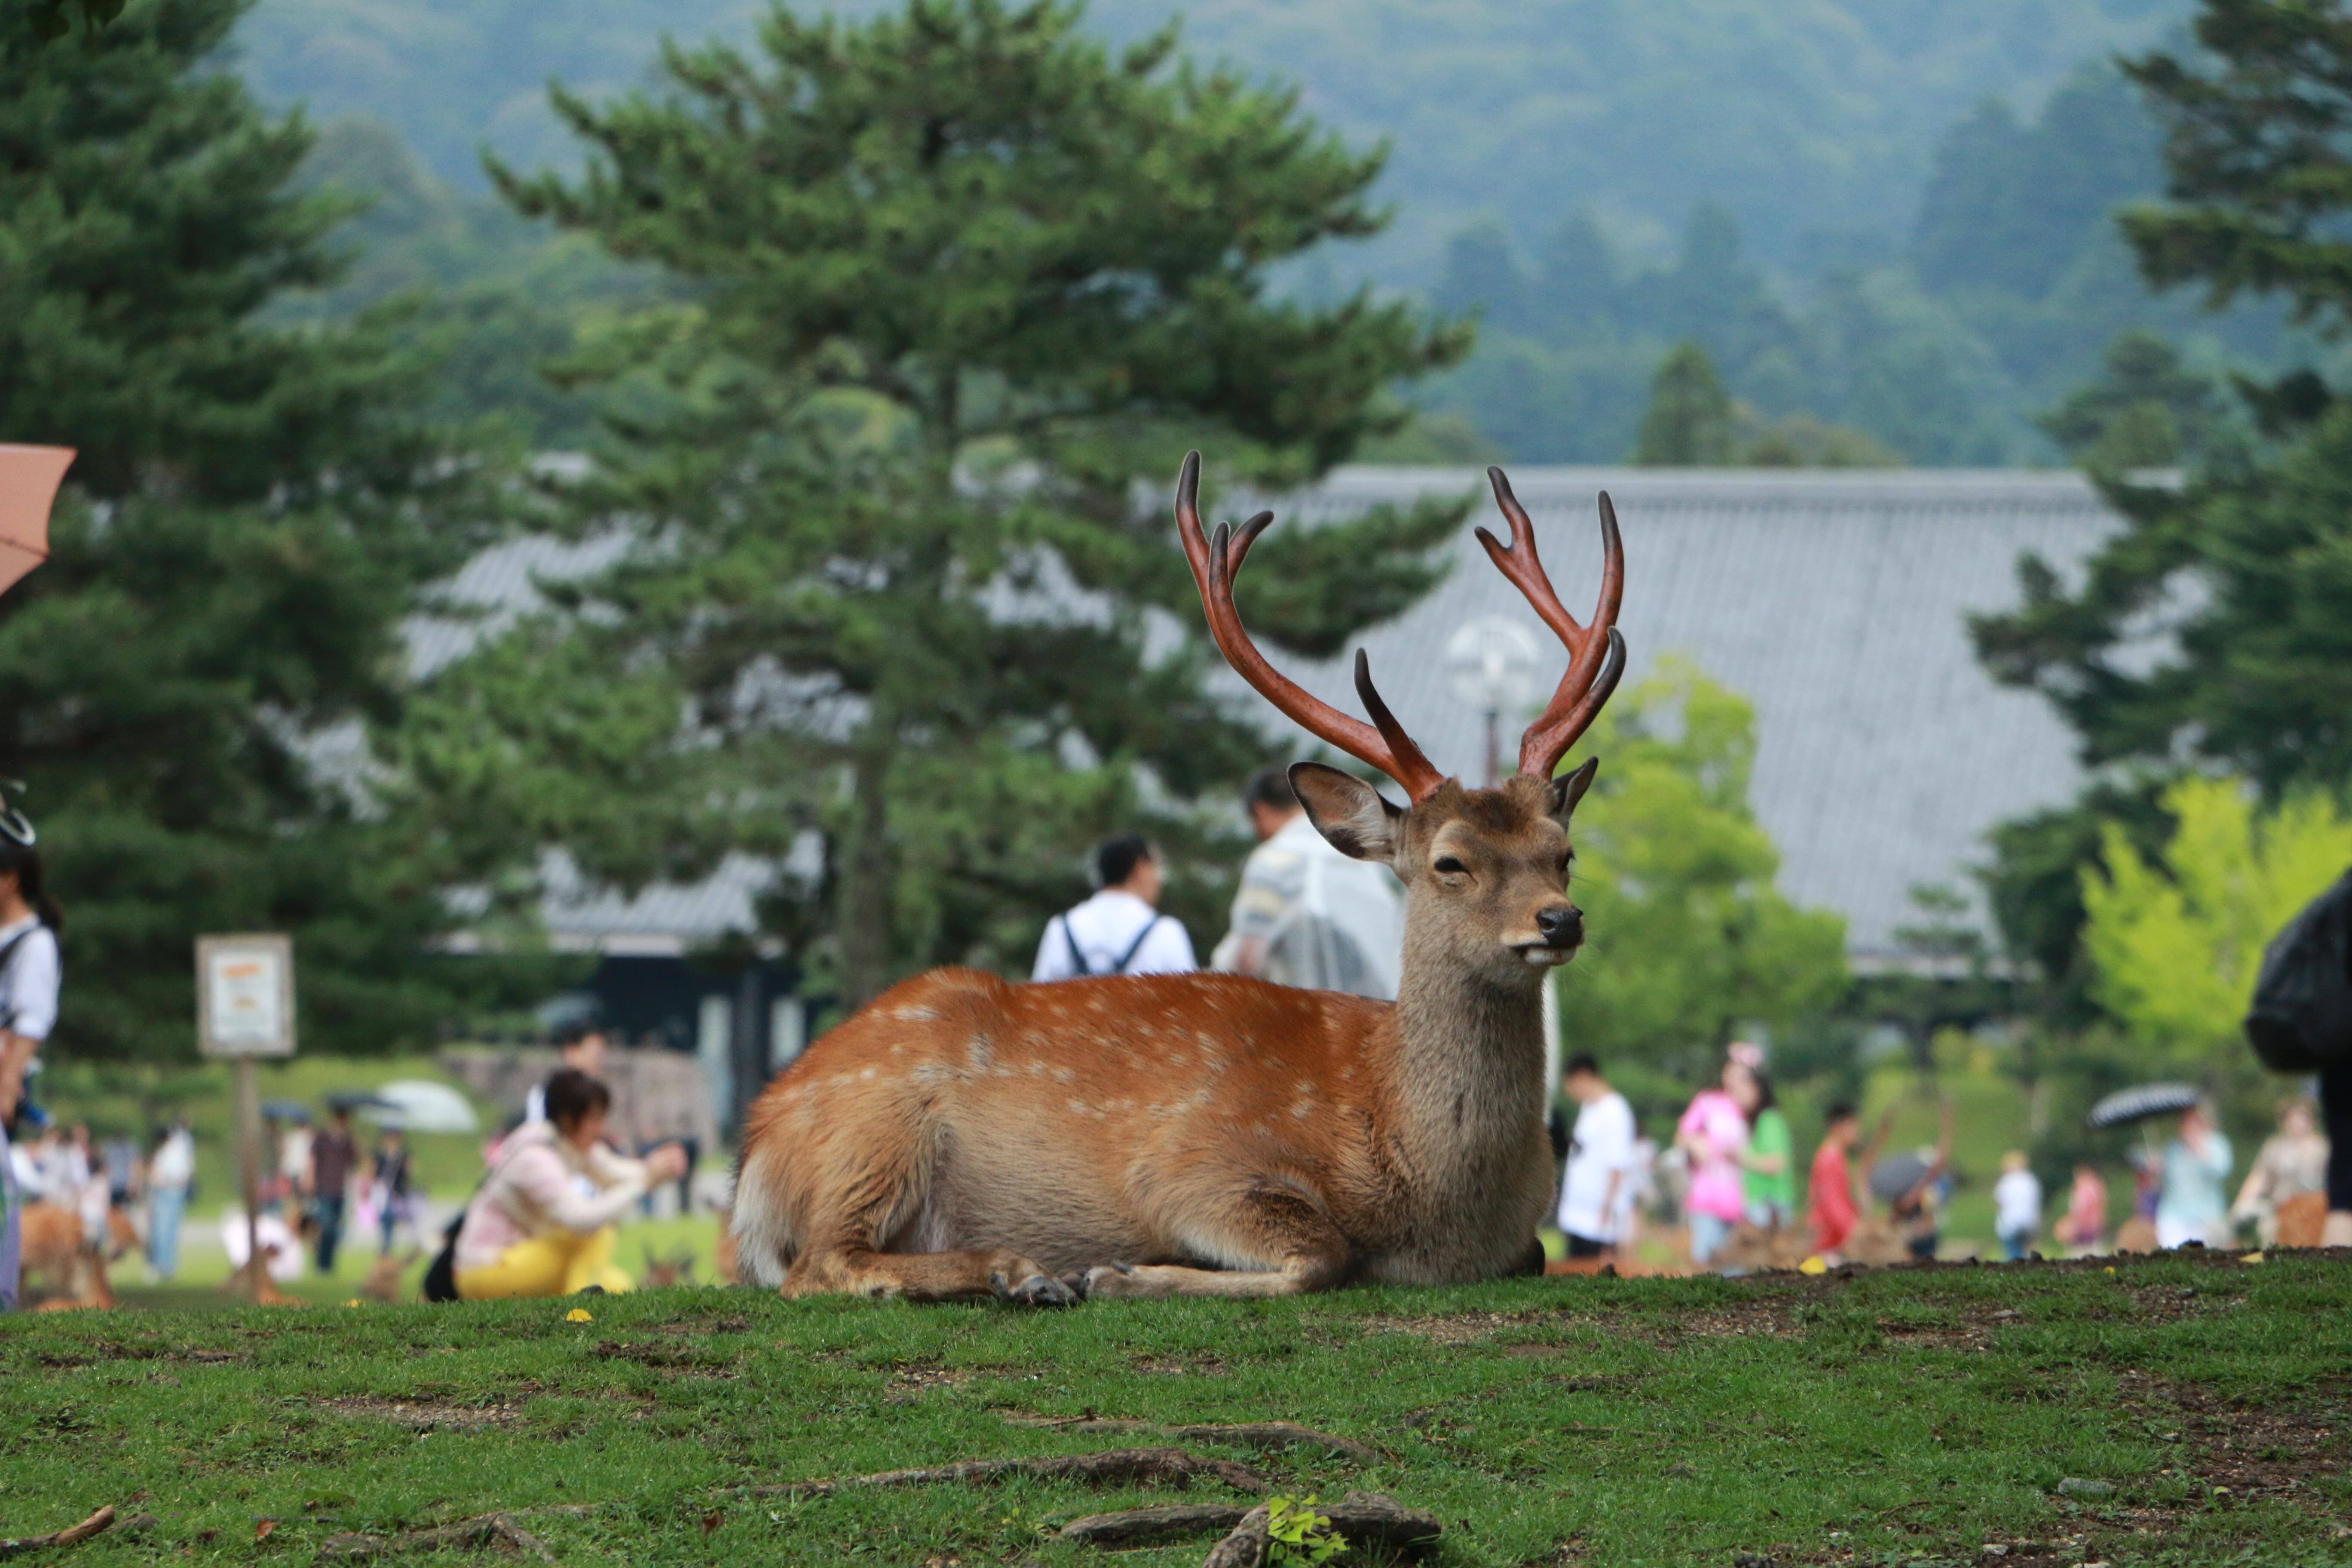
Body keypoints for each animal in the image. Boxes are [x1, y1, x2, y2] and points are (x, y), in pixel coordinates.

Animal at [724, 451, 1627, 1298]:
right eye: (1450, 861)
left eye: (1563, 852)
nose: (1559, 919)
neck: (1442, 1213)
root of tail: (757, 1145)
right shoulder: (1190, 1164)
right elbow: (1323, 1252)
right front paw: (1123, 1270)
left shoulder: (1520, 1240)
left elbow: (1537, 1252)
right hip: (875, 1126)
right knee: (822, 1261)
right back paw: (1022, 1270)